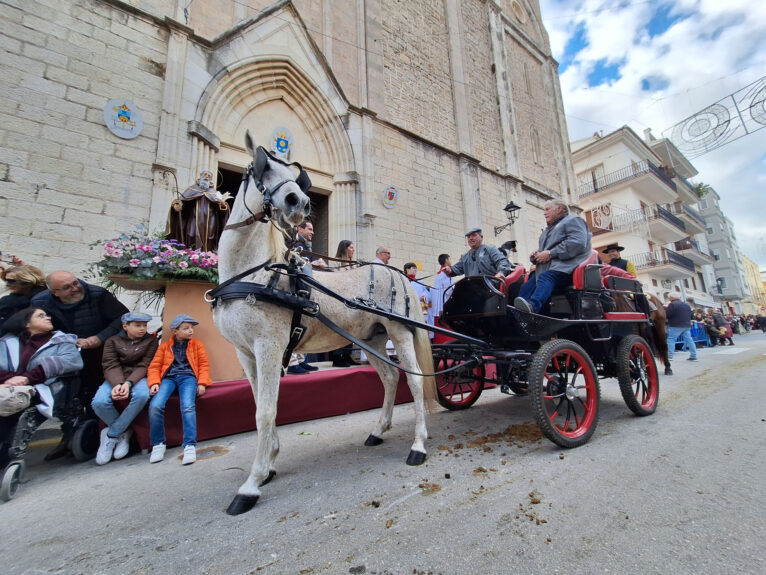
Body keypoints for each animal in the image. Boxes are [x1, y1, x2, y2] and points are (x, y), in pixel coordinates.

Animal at [213, 132, 438, 516]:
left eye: (294, 173)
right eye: (261, 167)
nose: (299, 201)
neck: (253, 274)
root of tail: (398, 273)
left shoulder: (268, 346)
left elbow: (266, 411)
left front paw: (251, 484)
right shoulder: (245, 352)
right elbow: (259, 404)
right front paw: (269, 464)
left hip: (399, 333)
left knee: (416, 382)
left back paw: (418, 446)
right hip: (372, 340)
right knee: (390, 378)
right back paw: (378, 431)